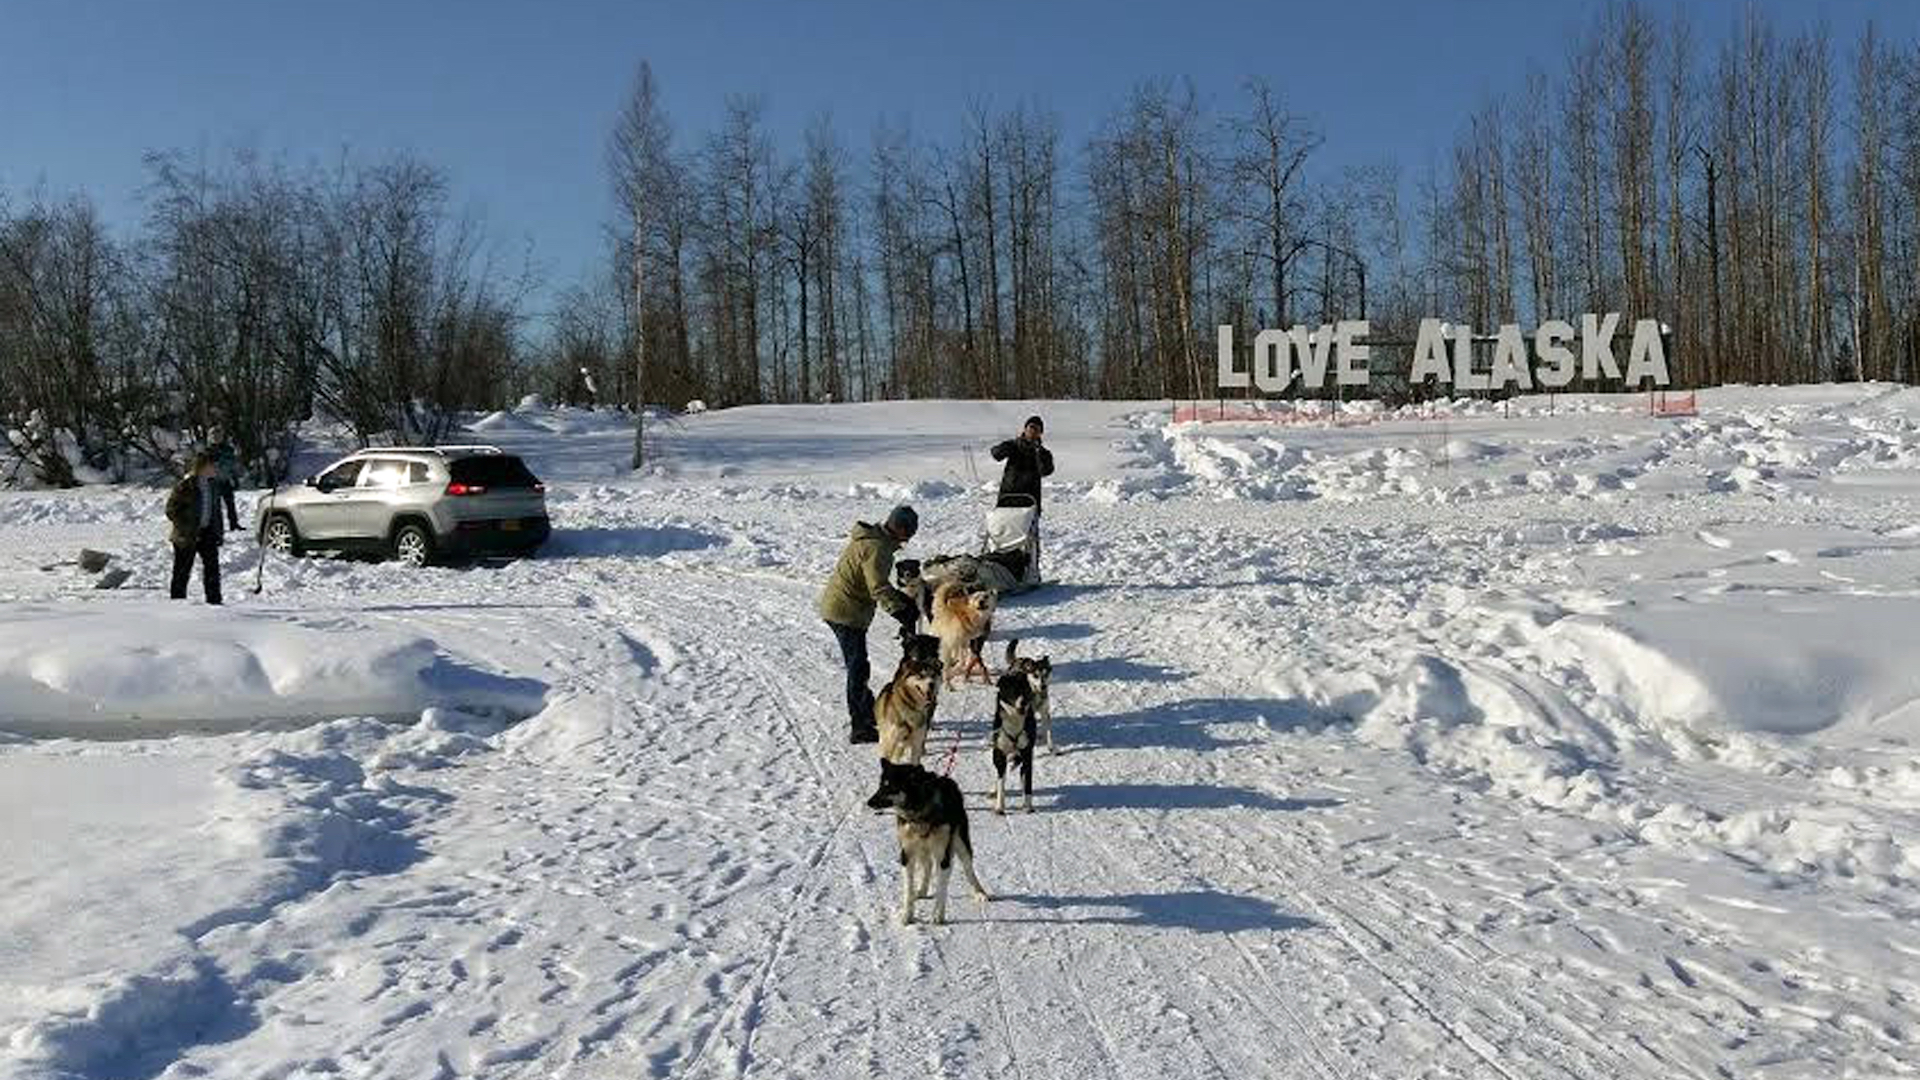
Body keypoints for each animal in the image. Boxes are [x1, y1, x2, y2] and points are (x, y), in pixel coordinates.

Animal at [865, 760, 991, 925]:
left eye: (890, 786)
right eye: (880, 785)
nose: (869, 802)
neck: (919, 814)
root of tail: (947, 780)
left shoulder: (943, 857)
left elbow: (941, 888)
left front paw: (938, 915)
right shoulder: (907, 854)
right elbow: (908, 889)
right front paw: (907, 915)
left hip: (961, 843)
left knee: (968, 869)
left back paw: (979, 892)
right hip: (921, 848)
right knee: (927, 865)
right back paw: (922, 890)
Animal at [876, 636, 941, 767]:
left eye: (933, 675)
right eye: (921, 676)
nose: (931, 684)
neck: (911, 707)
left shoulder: (916, 743)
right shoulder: (891, 742)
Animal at [989, 671, 1037, 814]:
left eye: (1025, 690)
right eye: (1013, 690)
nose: (1023, 702)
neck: (1014, 720)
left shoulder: (1027, 754)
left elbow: (1028, 782)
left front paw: (1028, 805)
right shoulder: (1000, 754)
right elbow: (1001, 781)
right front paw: (1000, 806)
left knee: (1022, 773)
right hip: (996, 755)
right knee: (999, 774)